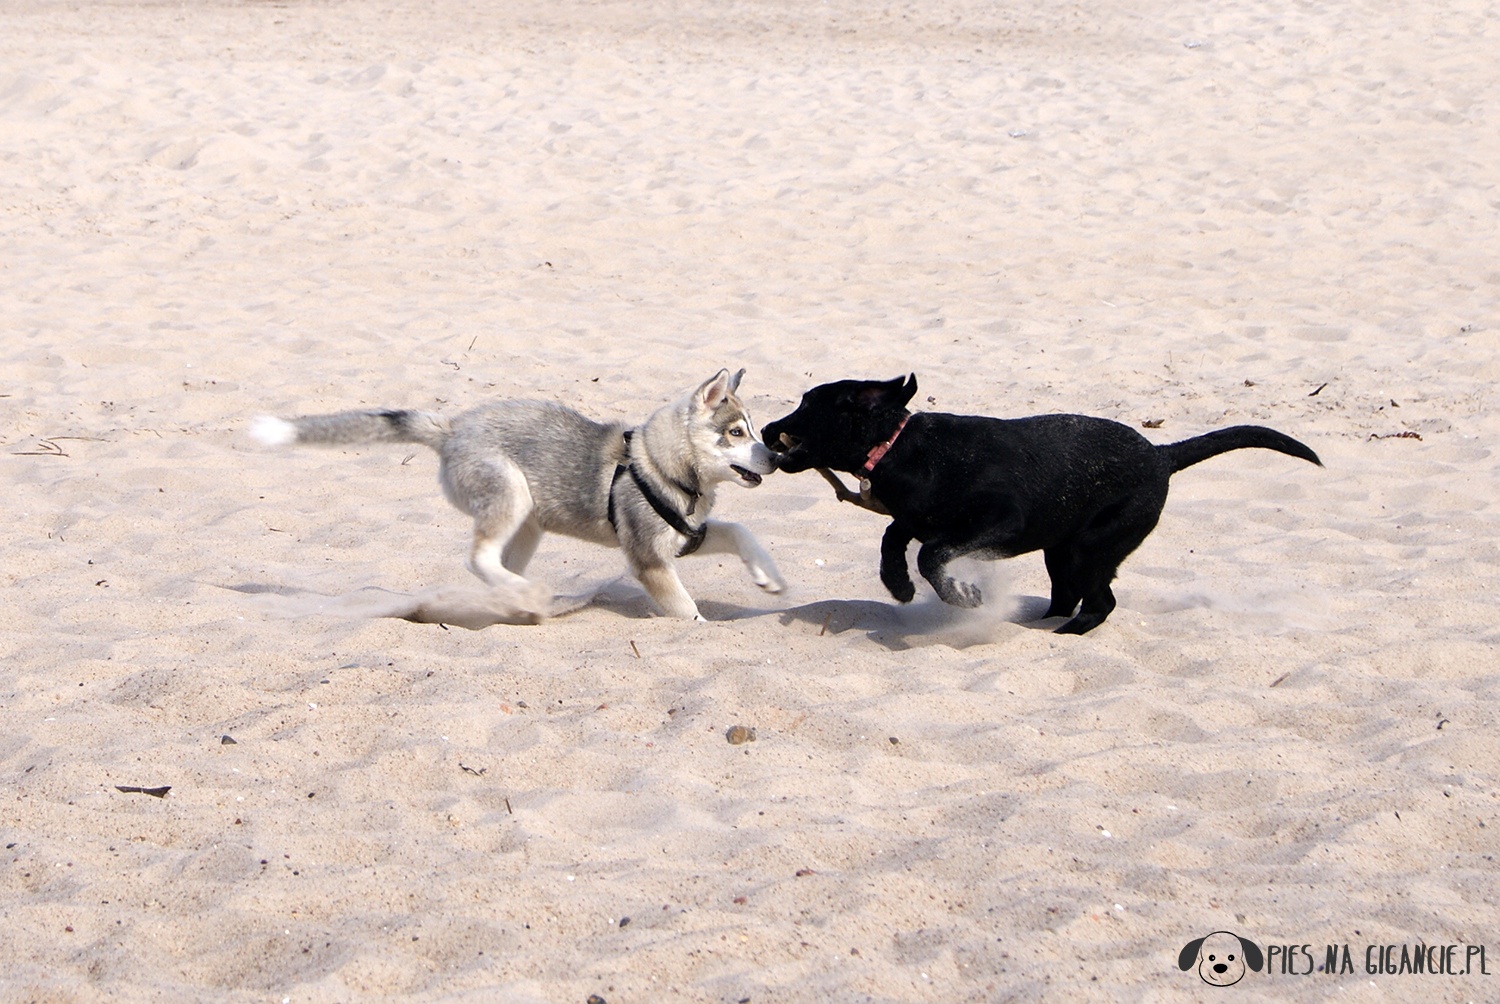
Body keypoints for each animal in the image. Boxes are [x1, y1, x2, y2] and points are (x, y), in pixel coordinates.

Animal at [252, 367, 786, 618]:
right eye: (736, 433)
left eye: (752, 430)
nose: (776, 458)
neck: (661, 467)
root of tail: (452, 428)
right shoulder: (650, 560)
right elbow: (688, 612)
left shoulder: (689, 536)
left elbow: (740, 531)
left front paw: (771, 578)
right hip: (511, 497)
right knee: (479, 558)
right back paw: (527, 594)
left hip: (529, 524)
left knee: (496, 566)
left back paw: (515, 601)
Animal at [762, 375, 1326, 633]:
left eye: (808, 405)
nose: (766, 429)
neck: (902, 447)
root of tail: (1162, 455)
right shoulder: (914, 517)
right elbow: (895, 539)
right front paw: (898, 585)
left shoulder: (1001, 520)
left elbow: (930, 552)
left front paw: (963, 595)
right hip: (1063, 551)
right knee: (1068, 594)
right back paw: (1038, 623)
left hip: (1093, 547)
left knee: (1099, 602)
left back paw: (1066, 632)